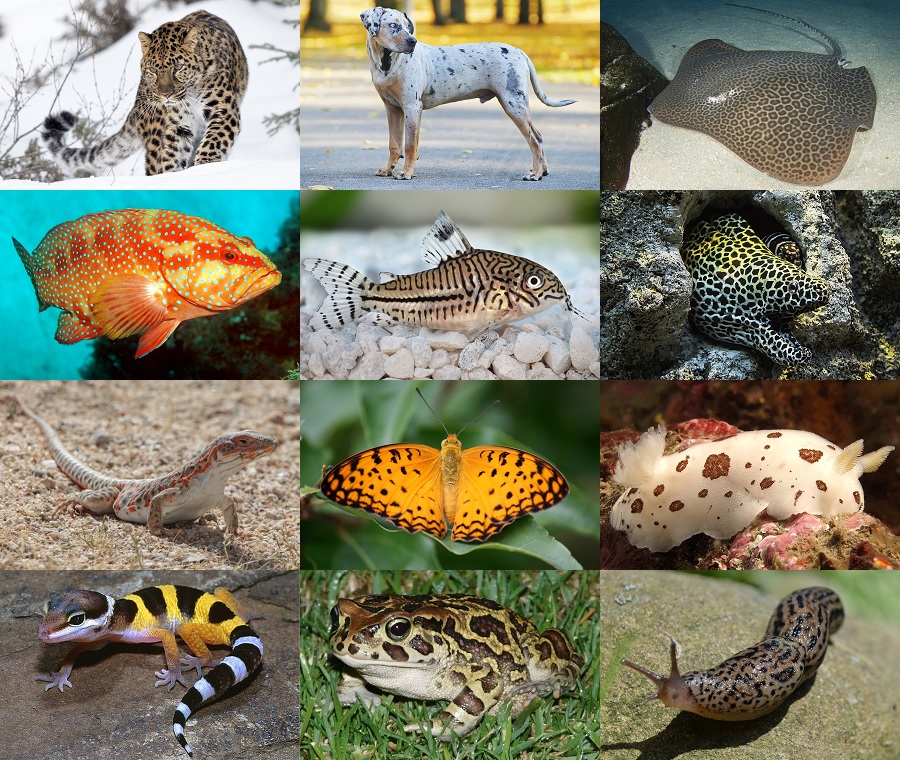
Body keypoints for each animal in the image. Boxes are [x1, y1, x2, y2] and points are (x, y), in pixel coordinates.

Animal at [42, 10, 248, 177]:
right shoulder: (178, 125)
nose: (166, 95)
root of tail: (136, 105)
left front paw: (205, 166)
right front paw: (171, 177)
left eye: (178, 68)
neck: (191, 93)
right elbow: (172, 155)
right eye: (153, 70)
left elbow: (214, 141)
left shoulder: (223, 109)